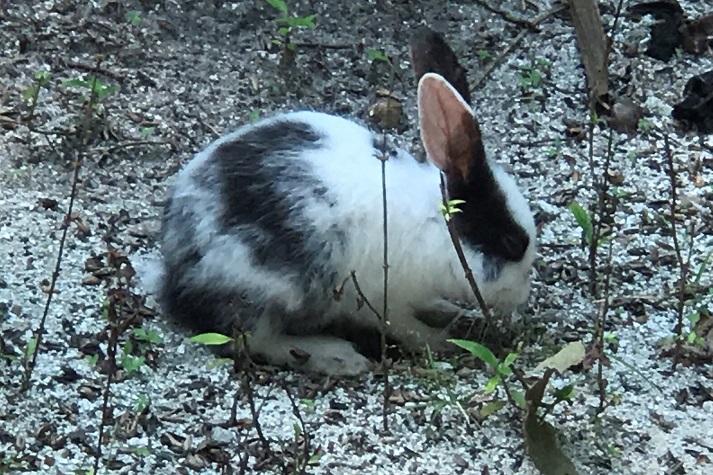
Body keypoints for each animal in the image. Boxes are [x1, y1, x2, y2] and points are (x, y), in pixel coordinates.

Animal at [154, 27, 536, 378]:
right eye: (511, 242)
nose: (523, 294)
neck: (435, 225)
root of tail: (173, 274)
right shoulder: (381, 299)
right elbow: (402, 325)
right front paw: (439, 341)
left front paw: (449, 311)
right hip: (259, 290)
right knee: (256, 340)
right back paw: (337, 356)